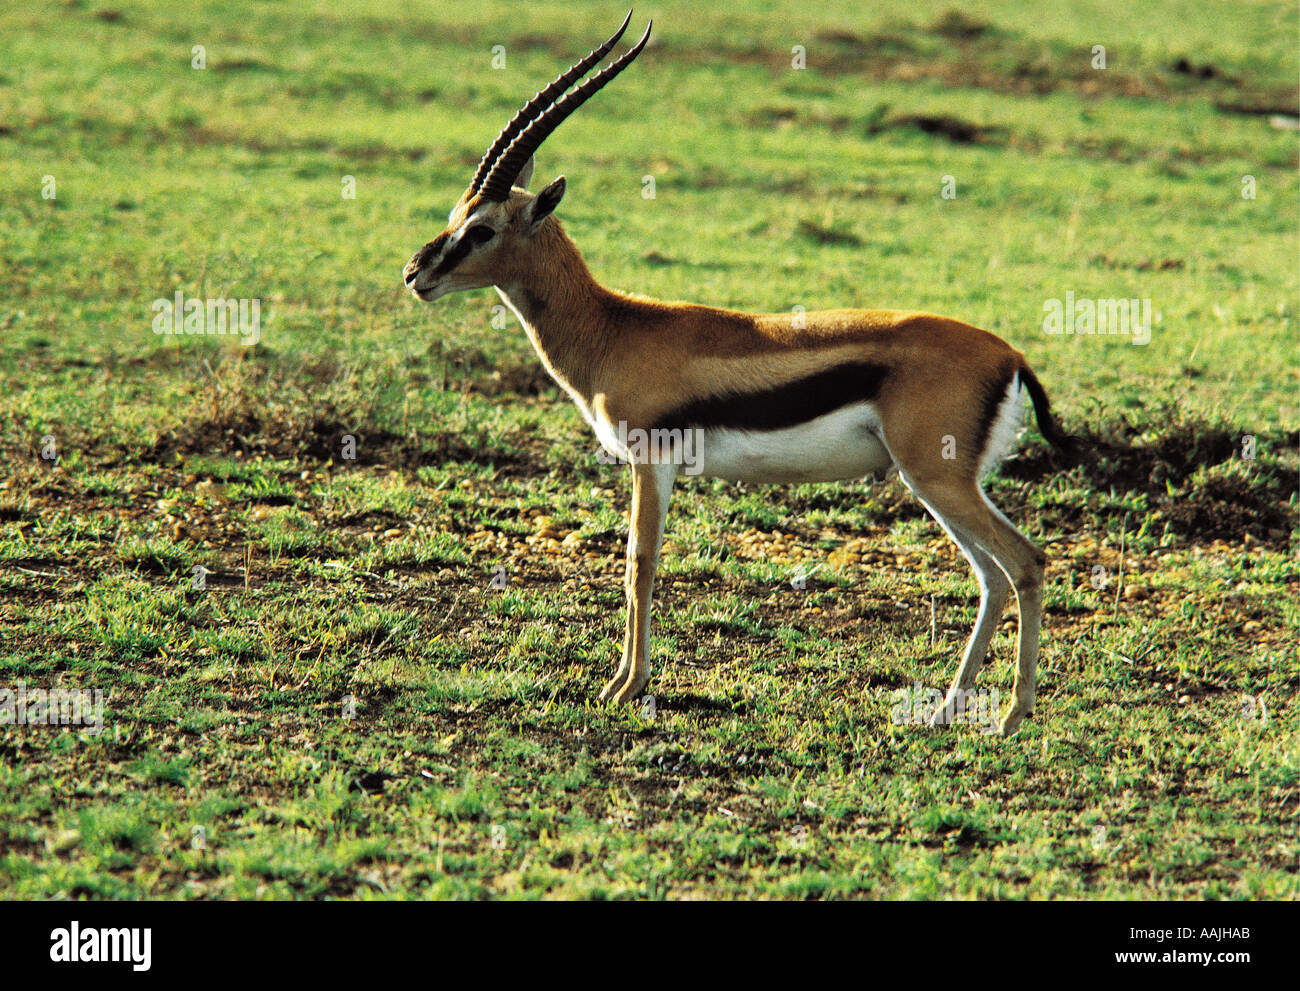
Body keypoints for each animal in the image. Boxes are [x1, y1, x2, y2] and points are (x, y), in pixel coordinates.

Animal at [402, 12, 1074, 735]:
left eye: (481, 228)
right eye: (454, 216)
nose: (415, 273)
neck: (614, 328)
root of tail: (1011, 356)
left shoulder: (651, 461)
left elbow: (639, 562)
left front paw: (626, 687)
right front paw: (625, 681)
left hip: (938, 478)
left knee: (1025, 561)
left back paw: (1011, 716)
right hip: (939, 483)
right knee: (994, 574)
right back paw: (950, 706)